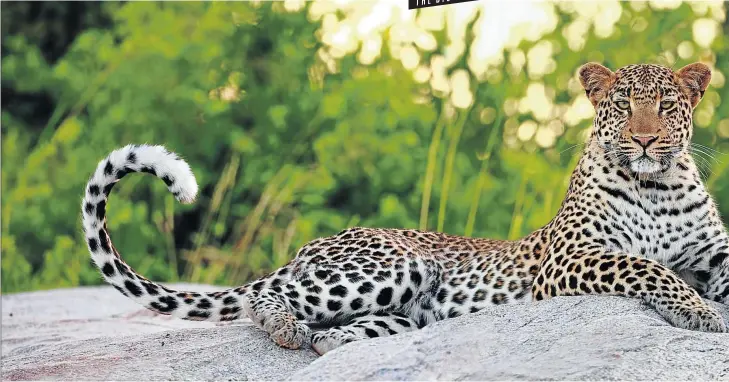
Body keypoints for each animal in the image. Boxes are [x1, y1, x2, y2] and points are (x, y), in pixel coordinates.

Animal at [82, 62, 728, 356]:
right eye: (622, 106)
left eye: (666, 106)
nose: (644, 139)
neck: (656, 187)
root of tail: (308, 247)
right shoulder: (571, 257)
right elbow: (648, 267)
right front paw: (701, 312)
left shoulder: (715, 253)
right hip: (393, 265)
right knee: (267, 298)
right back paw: (286, 327)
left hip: (403, 312)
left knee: (337, 328)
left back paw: (334, 344)